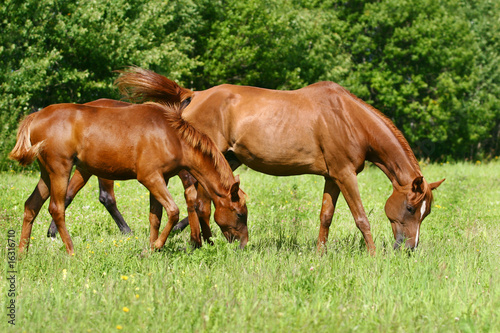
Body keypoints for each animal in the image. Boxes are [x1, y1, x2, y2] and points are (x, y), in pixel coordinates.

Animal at [8, 101, 247, 254]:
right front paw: (156, 246)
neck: (171, 135)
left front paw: (151, 248)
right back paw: (71, 251)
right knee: (57, 208)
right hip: (60, 170)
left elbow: (155, 216)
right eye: (239, 214)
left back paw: (21, 253)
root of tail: (36, 116)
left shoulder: (161, 179)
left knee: (31, 205)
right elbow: (172, 211)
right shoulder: (150, 177)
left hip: (46, 174)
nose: (243, 244)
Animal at [115, 68, 444, 253]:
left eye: (426, 213)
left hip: (226, 161)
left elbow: (326, 216)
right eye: (411, 208)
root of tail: (193, 94)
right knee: (194, 198)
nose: (409, 249)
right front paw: (374, 254)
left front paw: (320, 254)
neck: (348, 118)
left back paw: (204, 241)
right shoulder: (345, 174)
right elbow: (361, 217)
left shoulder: (332, 176)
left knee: (206, 200)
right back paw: (199, 241)